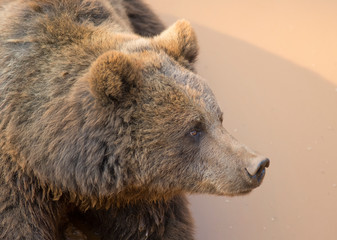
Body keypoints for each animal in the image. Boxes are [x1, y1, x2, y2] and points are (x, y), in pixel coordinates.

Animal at [0, 0, 268, 240]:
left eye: (219, 117)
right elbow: (17, 226)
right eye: (193, 129)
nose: (257, 165)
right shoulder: (18, 183)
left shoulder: (138, 195)